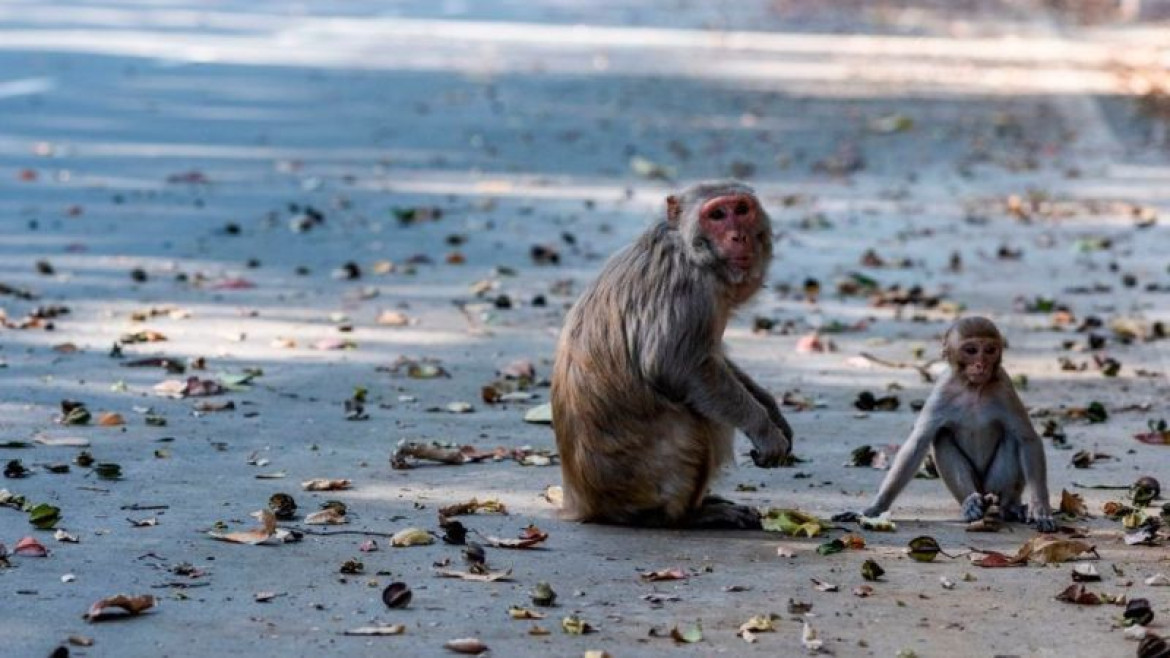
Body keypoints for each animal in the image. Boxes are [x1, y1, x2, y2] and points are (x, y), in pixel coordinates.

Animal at [549, 179, 790, 526]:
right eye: (717, 215)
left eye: (741, 209)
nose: (738, 236)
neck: (691, 250)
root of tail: (583, 503)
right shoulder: (687, 286)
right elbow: (673, 364)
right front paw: (763, 428)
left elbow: (711, 357)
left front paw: (772, 409)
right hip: (635, 482)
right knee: (704, 420)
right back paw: (690, 515)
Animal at [861, 316, 1062, 529]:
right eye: (971, 350)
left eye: (990, 350)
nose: (981, 364)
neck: (973, 388)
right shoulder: (942, 391)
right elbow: (917, 443)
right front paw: (877, 507)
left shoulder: (1005, 387)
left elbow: (1027, 438)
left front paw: (1040, 507)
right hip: (975, 487)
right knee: (941, 436)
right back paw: (971, 505)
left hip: (993, 484)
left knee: (1011, 440)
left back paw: (1009, 507)